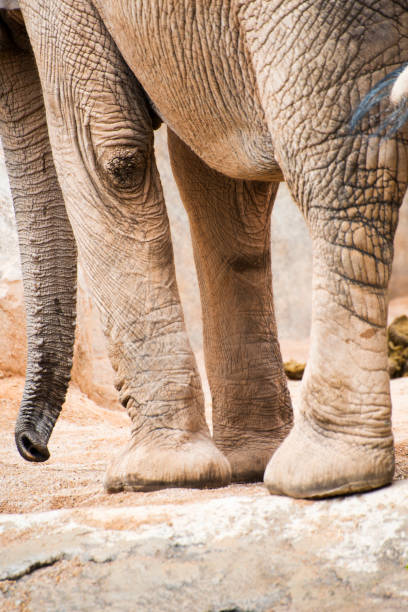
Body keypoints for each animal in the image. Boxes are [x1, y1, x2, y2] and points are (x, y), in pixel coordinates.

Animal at [0, 1, 406, 498]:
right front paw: (246, 463)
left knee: (342, 164)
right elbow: (216, 173)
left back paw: (322, 475)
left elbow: (105, 156)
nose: (32, 448)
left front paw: (150, 476)